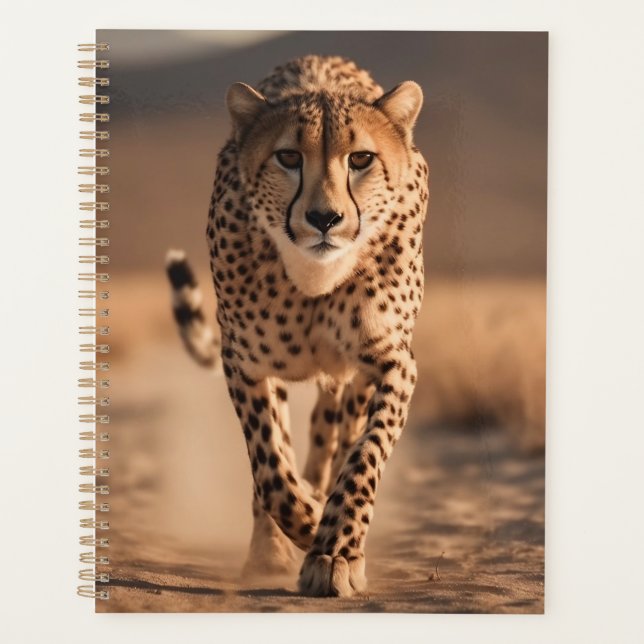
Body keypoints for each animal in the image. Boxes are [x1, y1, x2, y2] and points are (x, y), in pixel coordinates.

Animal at [166, 54, 429, 598]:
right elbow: (270, 467)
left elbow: (364, 457)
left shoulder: (394, 364)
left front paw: (337, 549)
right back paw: (271, 547)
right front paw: (306, 523)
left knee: (334, 435)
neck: (314, 278)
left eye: (361, 159)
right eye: (288, 157)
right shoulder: (245, 364)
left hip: (350, 380)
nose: (325, 218)